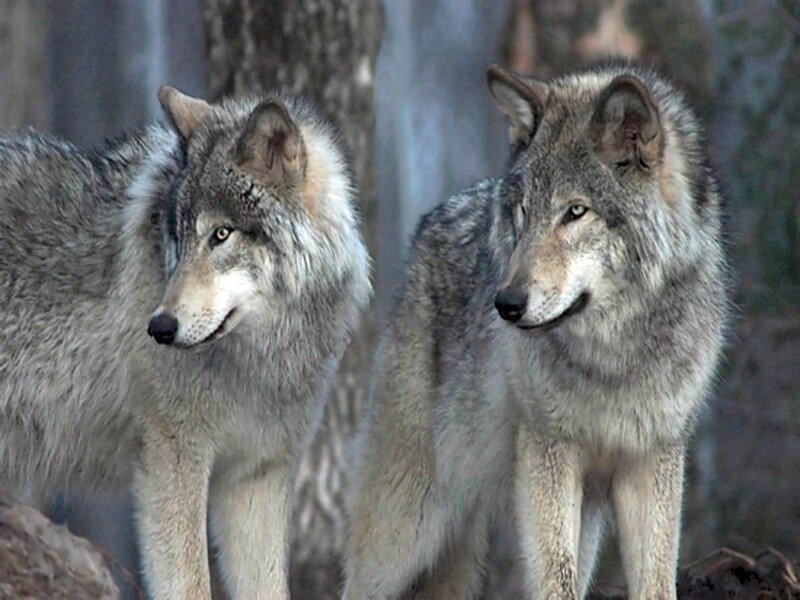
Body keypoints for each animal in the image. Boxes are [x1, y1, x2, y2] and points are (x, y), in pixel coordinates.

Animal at [0, 86, 370, 599]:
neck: (259, 357)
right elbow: (191, 585)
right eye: (176, 235)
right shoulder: (173, 462)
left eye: (221, 234)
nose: (159, 327)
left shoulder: (256, 478)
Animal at [345, 63, 727, 599]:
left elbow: (654, 581)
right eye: (523, 211)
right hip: (409, 521)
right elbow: (555, 578)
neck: (612, 356)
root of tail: (429, 222)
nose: (505, 304)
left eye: (575, 212)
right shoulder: (548, 452)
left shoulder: (653, 458)